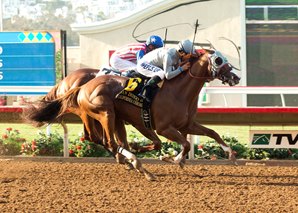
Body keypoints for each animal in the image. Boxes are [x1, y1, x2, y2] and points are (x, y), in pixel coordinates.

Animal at [22, 49, 240, 180]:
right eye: (219, 60)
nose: (235, 77)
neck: (178, 91)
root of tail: (81, 86)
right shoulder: (164, 127)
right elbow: (185, 144)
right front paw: (173, 159)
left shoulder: (185, 124)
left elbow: (212, 133)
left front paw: (231, 154)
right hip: (105, 113)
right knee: (108, 141)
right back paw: (136, 164)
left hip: (109, 117)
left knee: (104, 139)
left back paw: (132, 161)